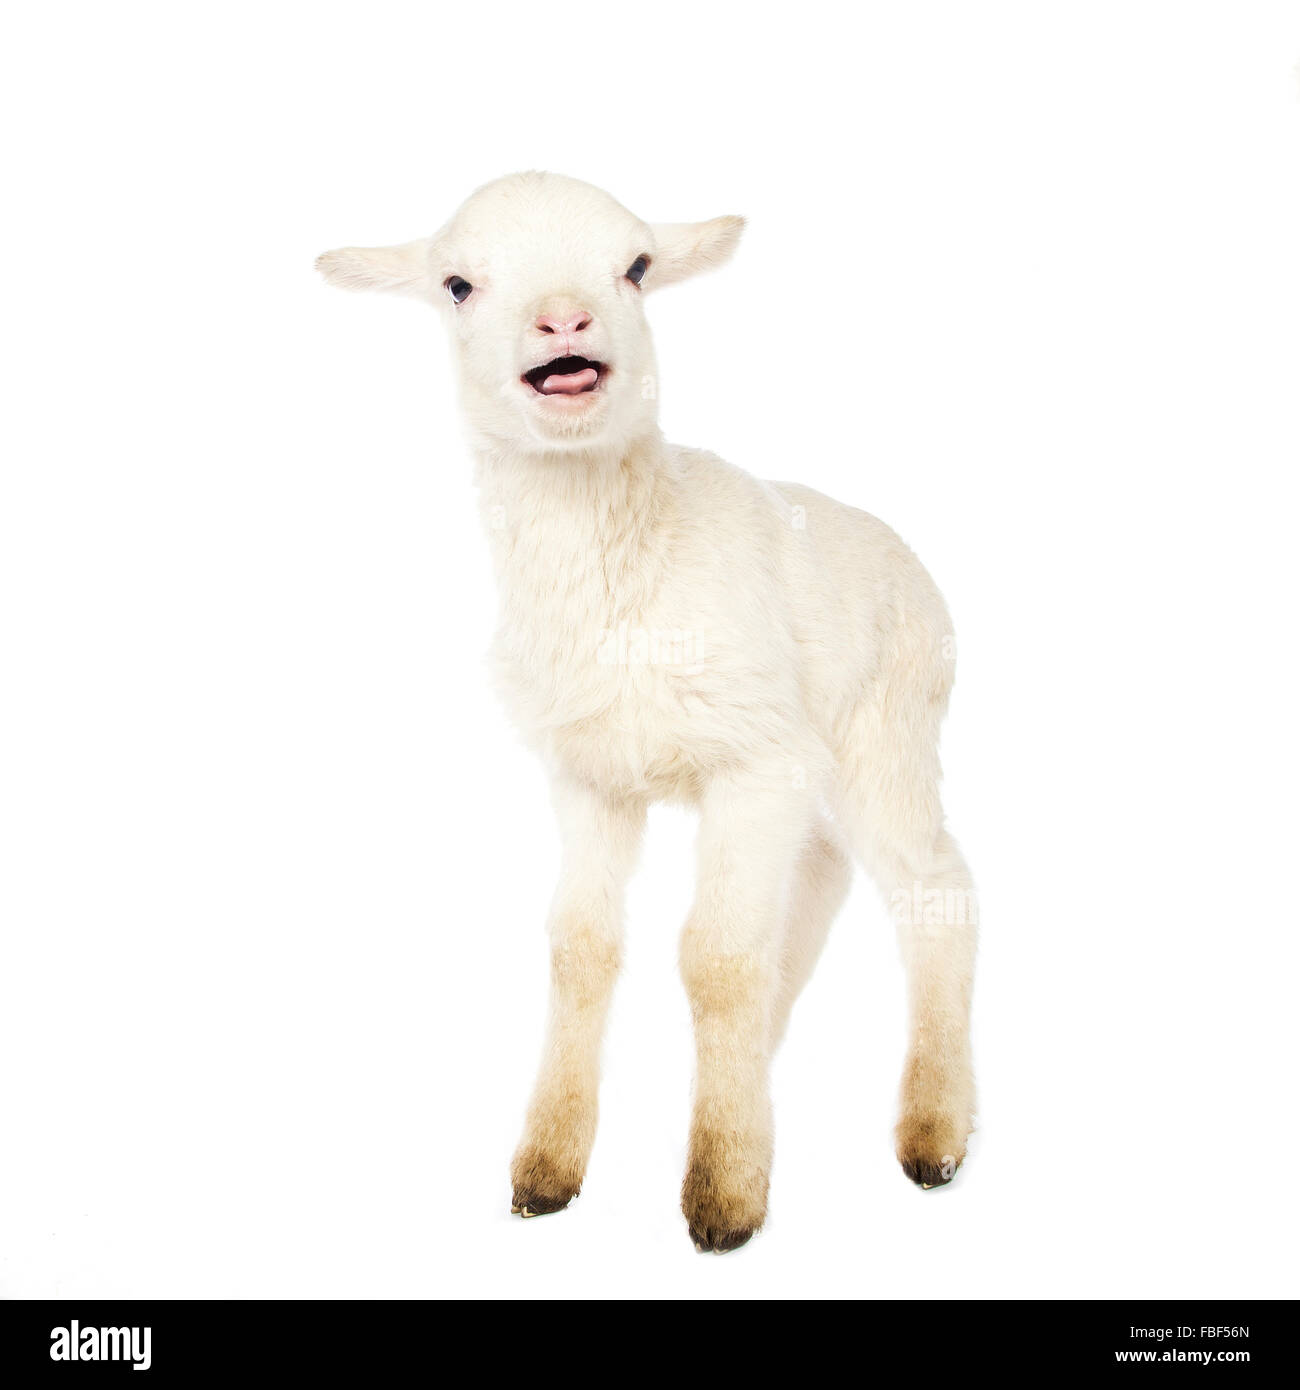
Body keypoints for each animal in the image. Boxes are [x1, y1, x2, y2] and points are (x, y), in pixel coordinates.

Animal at [317, 172, 977, 1253]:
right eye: (457, 283)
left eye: (634, 266)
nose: (563, 320)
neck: (638, 554)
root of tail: (901, 549)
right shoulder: (589, 775)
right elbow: (582, 949)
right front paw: (546, 1171)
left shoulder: (751, 759)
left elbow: (715, 959)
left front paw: (725, 1198)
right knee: (816, 887)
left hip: (889, 718)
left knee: (931, 889)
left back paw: (932, 1132)